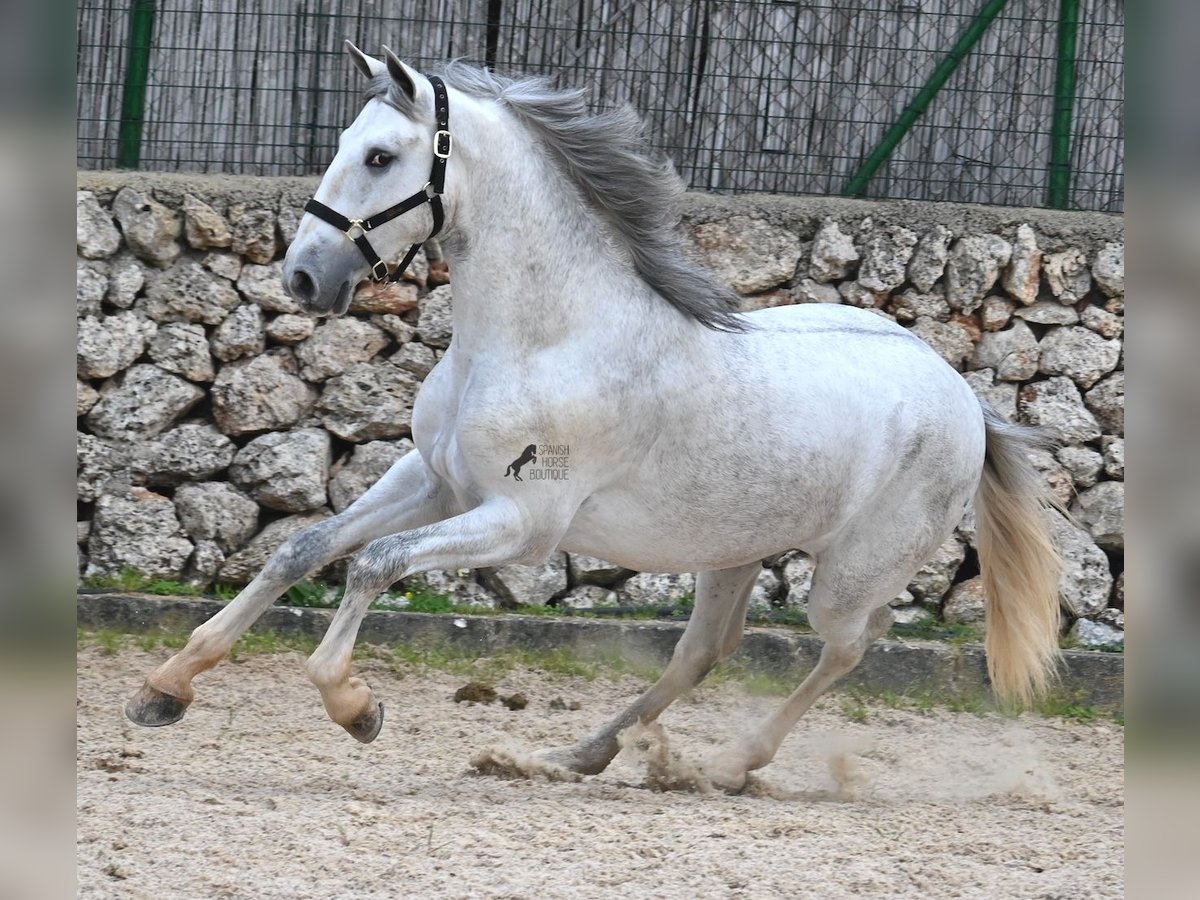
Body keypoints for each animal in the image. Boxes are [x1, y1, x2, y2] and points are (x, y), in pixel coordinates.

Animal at [125, 44, 1062, 792]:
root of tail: (964, 397)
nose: (303, 279)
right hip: (733, 546)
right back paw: (576, 756)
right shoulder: (433, 481)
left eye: (382, 155)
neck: (545, 337)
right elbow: (306, 547)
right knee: (704, 650)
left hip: (850, 576)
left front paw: (354, 706)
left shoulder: (521, 522)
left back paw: (726, 765)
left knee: (844, 649)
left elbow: (373, 564)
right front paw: (165, 688)